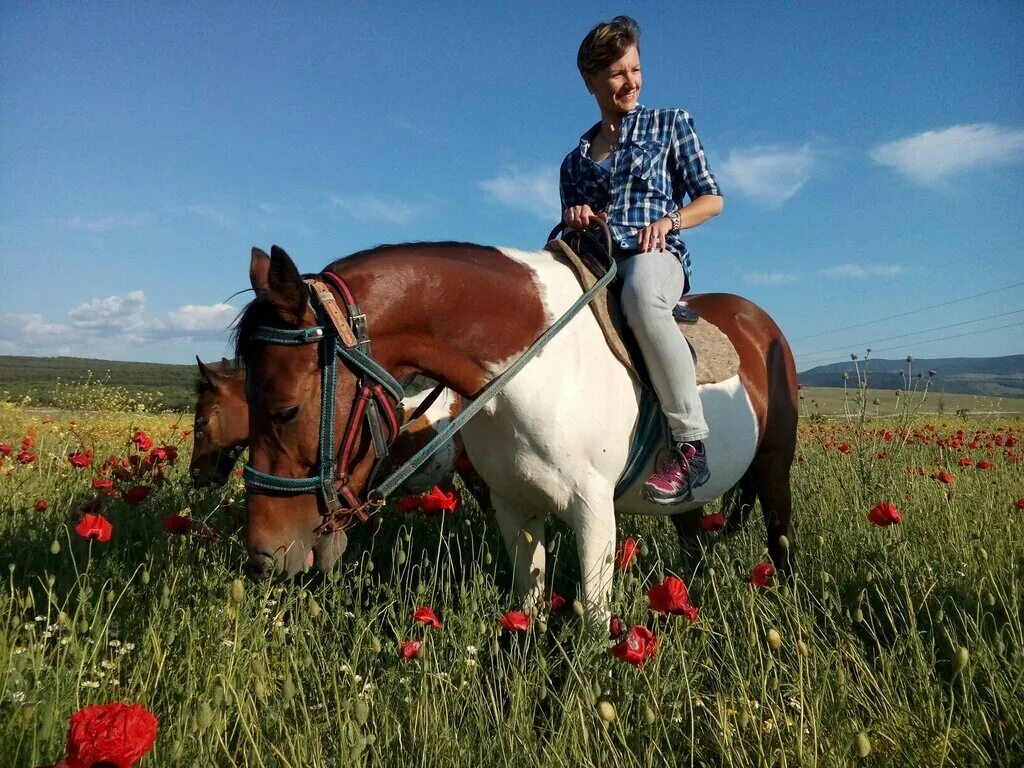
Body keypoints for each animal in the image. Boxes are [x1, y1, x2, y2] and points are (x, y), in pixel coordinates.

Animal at [235, 243, 794, 618]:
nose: (262, 556)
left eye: (285, 410)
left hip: (775, 466)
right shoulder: (512, 505)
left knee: (781, 540)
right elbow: (527, 607)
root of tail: (759, 319)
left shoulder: (594, 510)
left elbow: (595, 622)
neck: (533, 367)